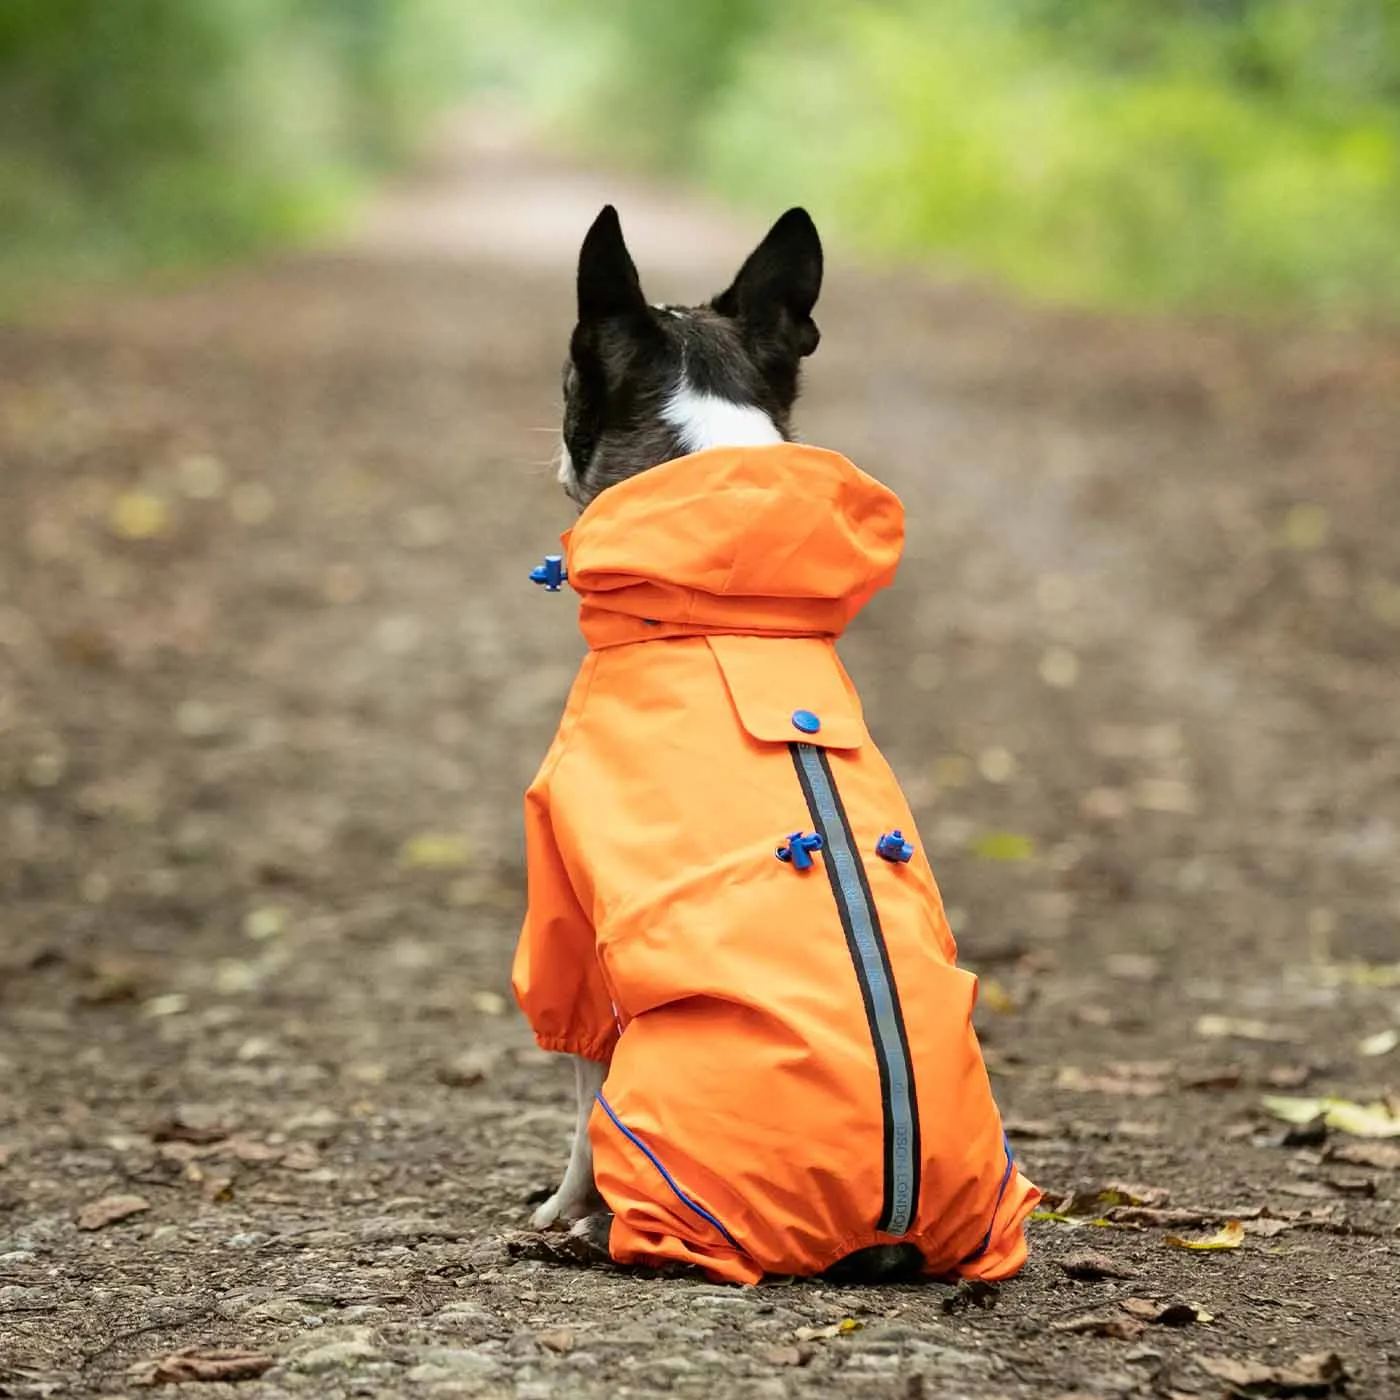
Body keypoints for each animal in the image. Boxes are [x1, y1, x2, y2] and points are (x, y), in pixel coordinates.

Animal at [515, 203, 1041, 1282]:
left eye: (565, 377)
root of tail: (885, 1223)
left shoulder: (567, 901)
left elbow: (579, 1087)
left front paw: (560, 1204)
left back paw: (599, 1231)